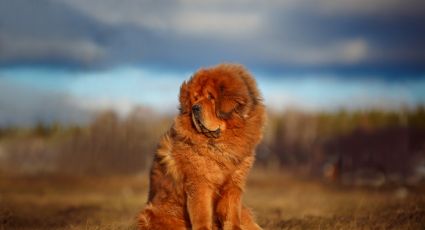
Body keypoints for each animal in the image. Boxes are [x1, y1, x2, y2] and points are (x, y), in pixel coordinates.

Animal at [139, 63, 264, 230]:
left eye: (211, 97)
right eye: (195, 99)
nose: (195, 108)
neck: (220, 144)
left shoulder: (233, 186)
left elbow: (232, 214)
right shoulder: (200, 185)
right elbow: (202, 214)